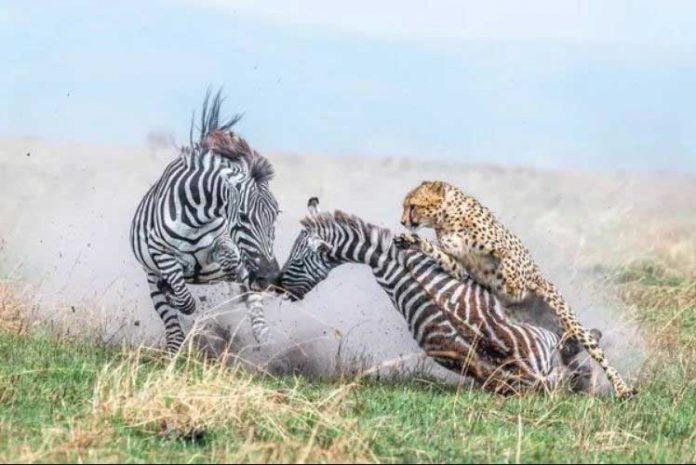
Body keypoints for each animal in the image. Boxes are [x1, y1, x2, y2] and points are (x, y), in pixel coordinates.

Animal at [130, 91, 280, 352]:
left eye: (276, 215)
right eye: (243, 216)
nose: (269, 276)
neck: (196, 215)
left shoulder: (223, 241)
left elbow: (230, 259)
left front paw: (236, 275)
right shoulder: (162, 253)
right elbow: (185, 299)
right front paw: (174, 294)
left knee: (257, 313)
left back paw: (264, 338)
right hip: (151, 276)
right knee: (173, 328)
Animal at [278, 198, 601, 395]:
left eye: (297, 259)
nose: (278, 287)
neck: (392, 261)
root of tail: (526, 372)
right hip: (538, 350)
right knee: (570, 360)